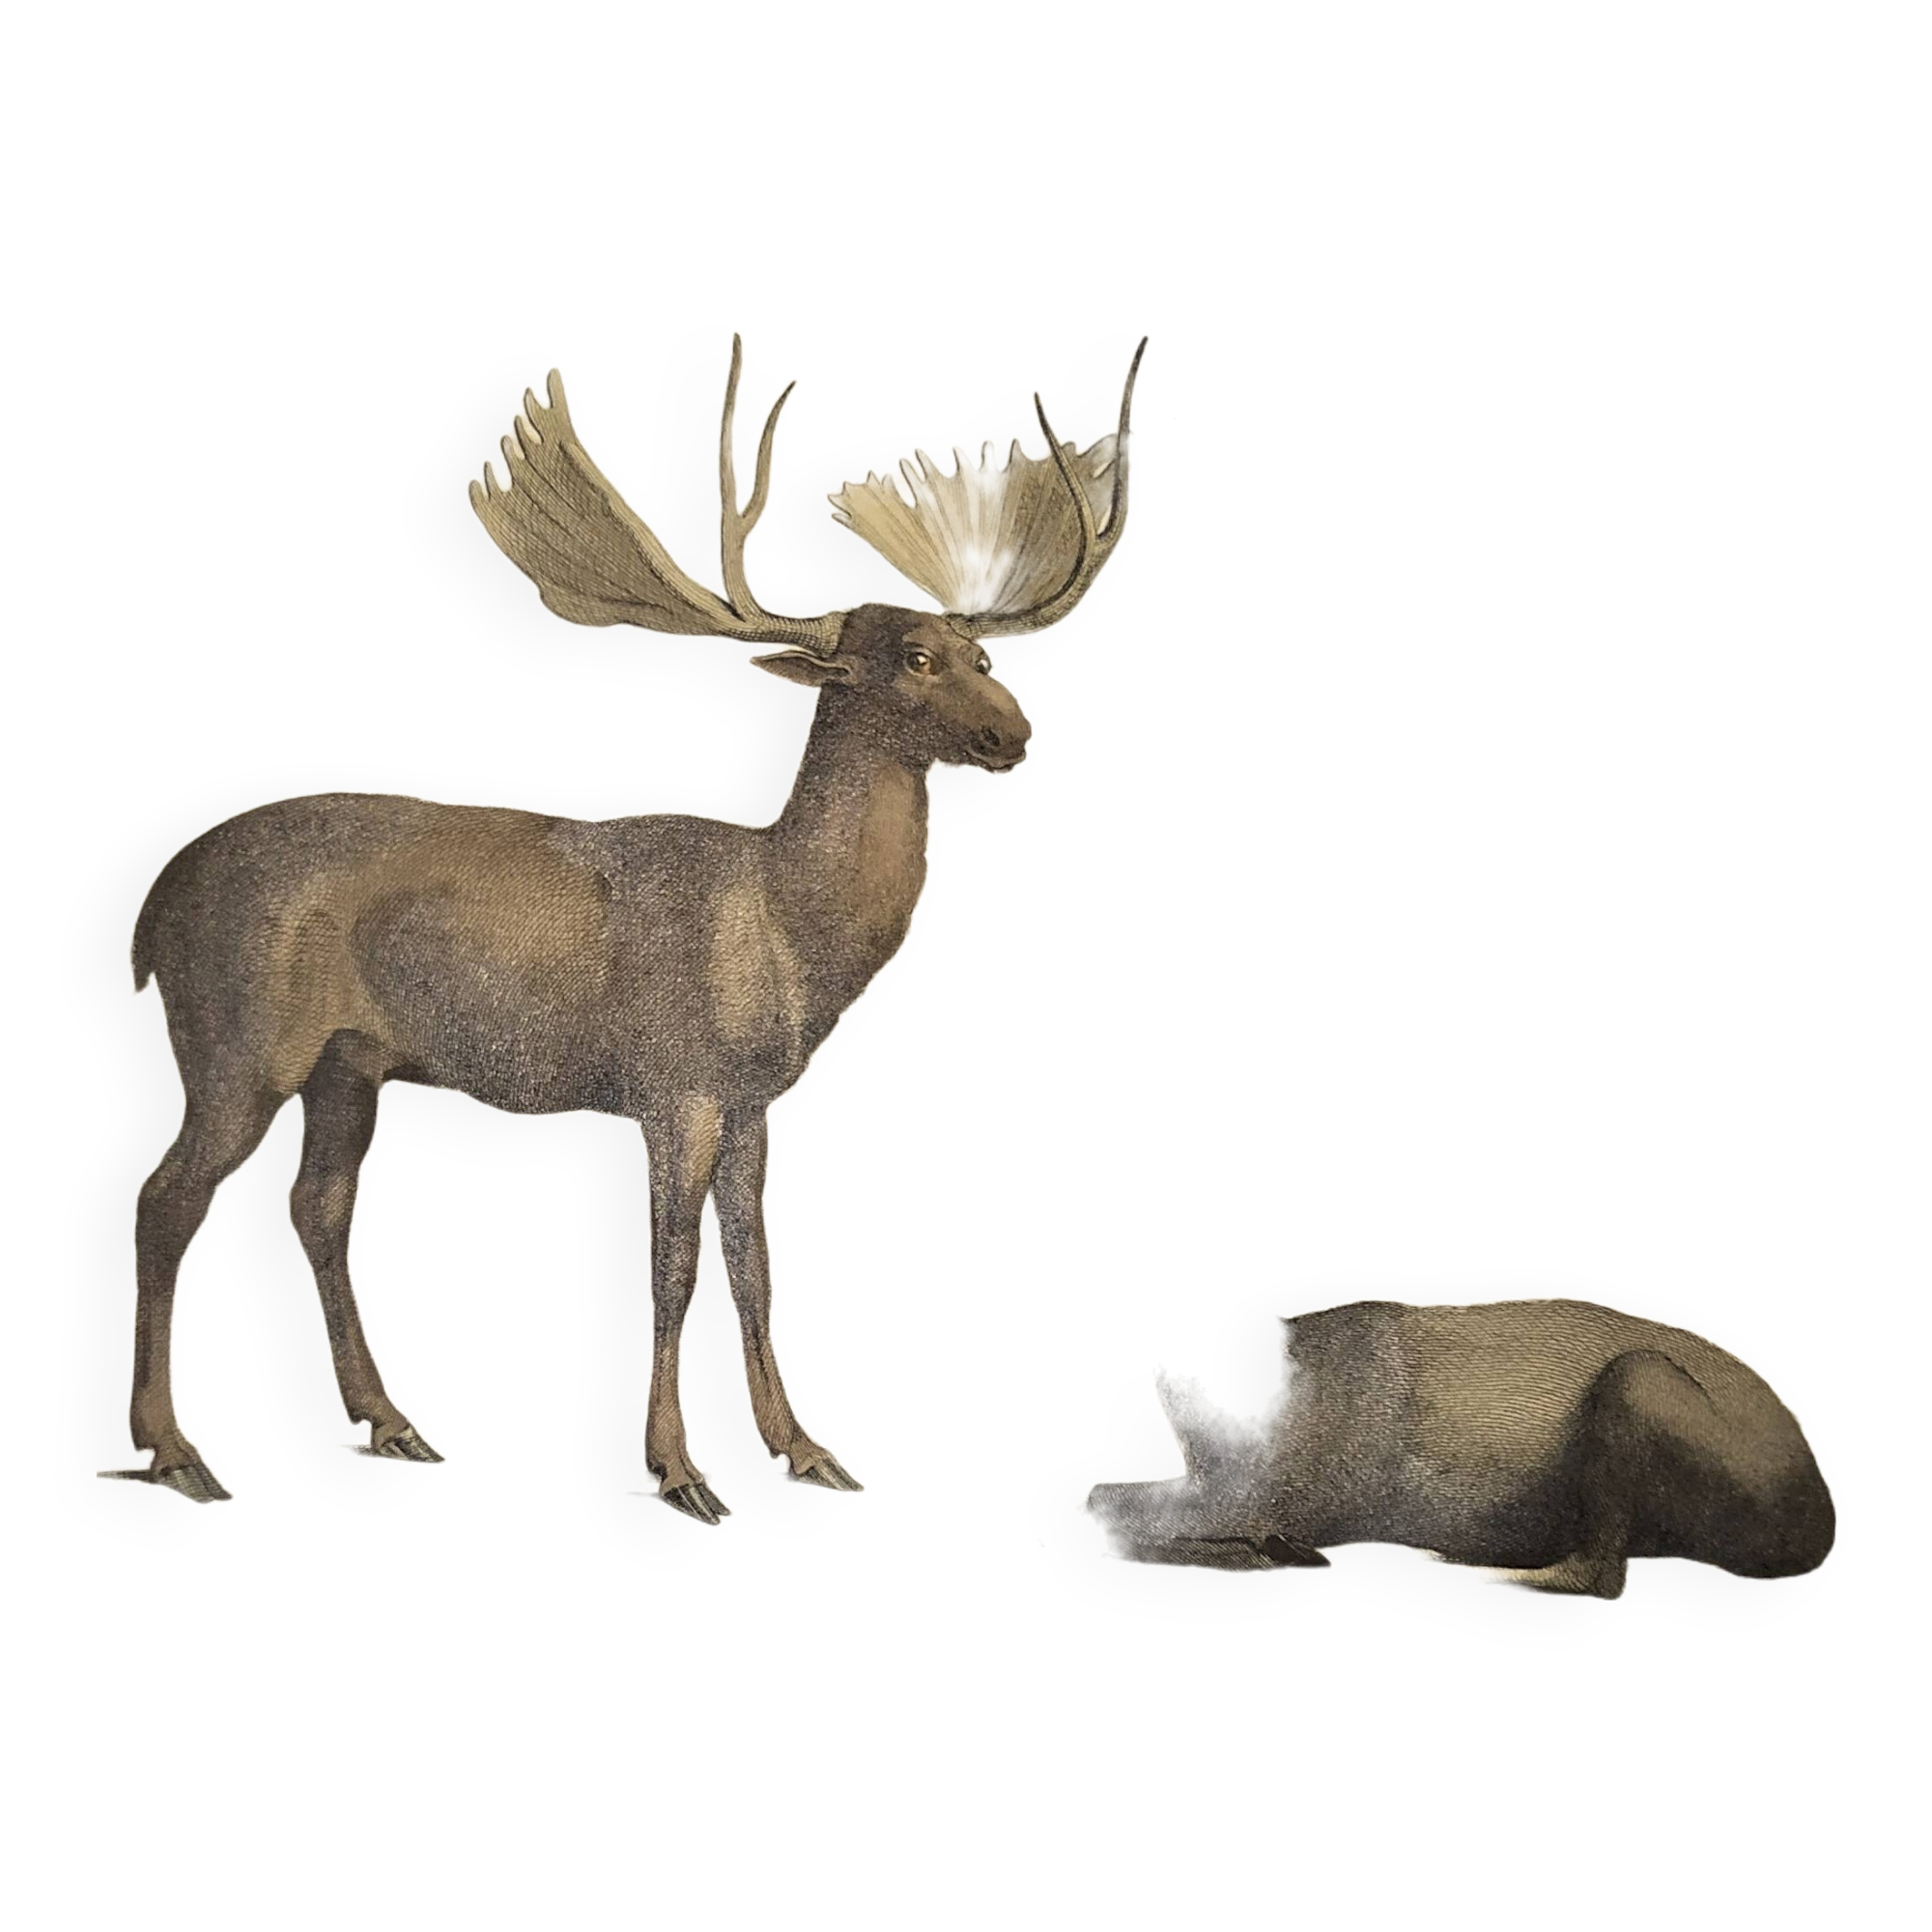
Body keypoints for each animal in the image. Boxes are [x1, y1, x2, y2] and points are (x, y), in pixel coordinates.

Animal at [100, 329, 1149, 1519]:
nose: (1016, 734)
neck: (782, 929)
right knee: (165, 1199)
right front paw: (679, 1469)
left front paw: (807, 1450)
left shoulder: (754, 1098)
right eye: (915, 659)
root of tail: (150, 915)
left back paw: (392, 1422)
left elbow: (757, 1267)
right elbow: (672, 1273)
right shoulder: (672, 1082)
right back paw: (176, 1452)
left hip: (349, 1063)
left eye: (984, 654)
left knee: (317, 1204)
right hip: (237, 1039)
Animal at [1077, 1297, 1835, 1597]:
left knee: (1600, 1576)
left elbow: (1104, 1499)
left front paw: (1283, 1555)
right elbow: (1105, 1499)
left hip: (1638, 1384)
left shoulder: (1256, 1492)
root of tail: (1818, 1500)